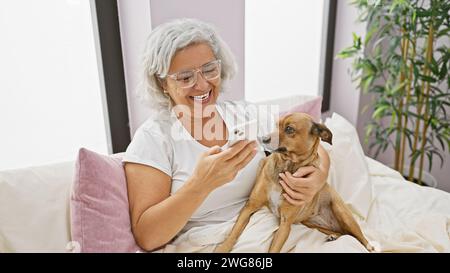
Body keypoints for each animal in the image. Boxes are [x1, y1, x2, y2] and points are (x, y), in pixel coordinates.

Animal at [214, 112, 372, 251]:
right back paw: (334, 235)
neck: (286, 167)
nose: (263, 138)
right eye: (276, 125)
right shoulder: (250, 206)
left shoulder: (285, 224)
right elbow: (234, 232)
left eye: (289, 129)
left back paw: (370, 246)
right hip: (312, 224)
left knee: (359, 237)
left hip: (342, 213)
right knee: (344, 233)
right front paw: (223, 247)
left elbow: (274, 249)